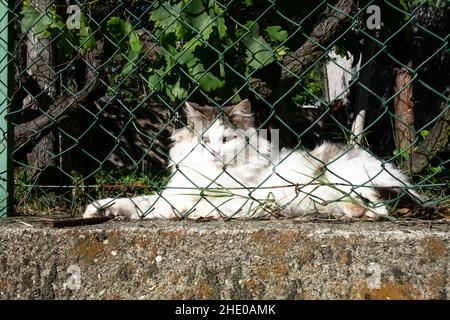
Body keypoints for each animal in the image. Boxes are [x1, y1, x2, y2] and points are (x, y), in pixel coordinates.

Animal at [83, 100, 422, 220]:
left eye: (227, 139)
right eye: (204, 140)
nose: (214, 152)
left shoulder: (235, 197)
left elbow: (191, 207)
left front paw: (195, 214)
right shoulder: (178, 194)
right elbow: (141, 202)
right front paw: (101, 209)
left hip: (343, 176)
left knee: (379, 204)